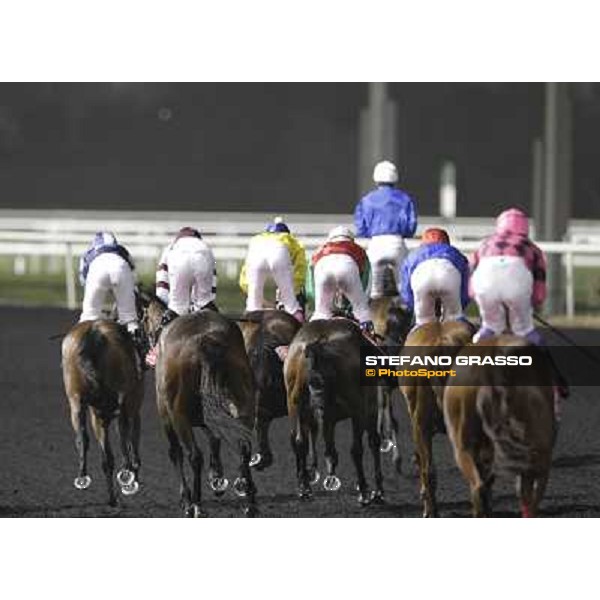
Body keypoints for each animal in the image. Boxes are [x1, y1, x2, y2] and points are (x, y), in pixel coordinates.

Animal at [61, 318, 144, 506]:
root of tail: (93, 333)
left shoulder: (98, 414)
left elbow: (107, 453)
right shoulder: (132, 406)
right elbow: (129, 441)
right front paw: (131, 477)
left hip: (76, 401)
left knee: (83, 439)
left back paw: (85, 479)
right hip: (124, 402)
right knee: (123, 439)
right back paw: (127, 476)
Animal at [139, 292, 258, 516]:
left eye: (143, 318)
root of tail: (204, 340)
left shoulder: (167, 417)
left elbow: (175, 452)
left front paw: (186, 498)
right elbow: (214, 439)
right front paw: (217, 478)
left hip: (179, 416)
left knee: (194, 455)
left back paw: (195, 504)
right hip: (244, 404)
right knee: (244, 446)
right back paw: (250, 504)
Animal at [284, 316, 382, 504]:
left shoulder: (326, 415)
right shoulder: (368, 407)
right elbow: (373, 442)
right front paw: (377, 491)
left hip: (294, 403)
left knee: (300, 441)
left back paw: (304, 488)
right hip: (357, 407)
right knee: (356, 449)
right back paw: (364, 491)